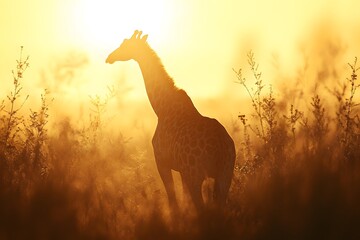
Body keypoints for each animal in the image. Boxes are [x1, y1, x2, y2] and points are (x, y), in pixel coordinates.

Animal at [105, 30, 235, 212]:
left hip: (196, 175)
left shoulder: (162, 162)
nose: (109, 57)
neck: (161, 108)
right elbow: (184, 200)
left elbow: (173, 200)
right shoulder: (181, 170)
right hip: (225, 175)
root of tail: (221, 146)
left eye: (125, 44)